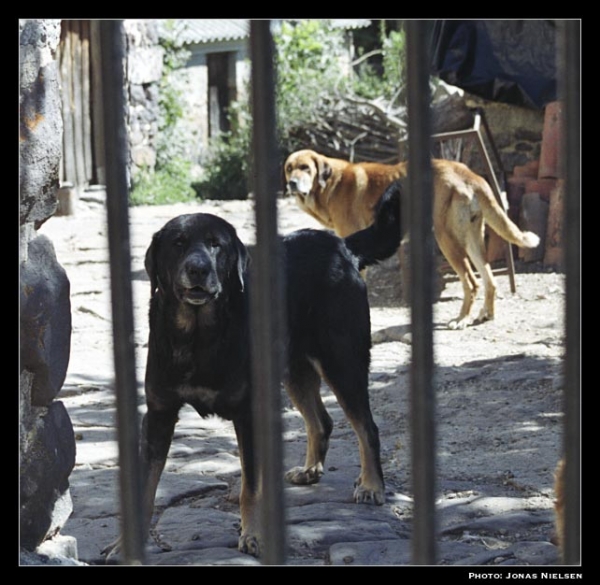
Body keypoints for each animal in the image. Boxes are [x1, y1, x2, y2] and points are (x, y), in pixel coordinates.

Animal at [105, 180, 404, 560]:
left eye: (216, 245)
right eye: (178, 244)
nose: (198, 269)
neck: (199, 336)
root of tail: (342, 247)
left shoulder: (248, 413)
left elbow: (251, 485)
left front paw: (254, 535)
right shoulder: (159, 414)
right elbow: (145, 487)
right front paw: (126, 545)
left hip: (343, 362)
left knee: (366, 426)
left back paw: (371, 485)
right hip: (294, 369)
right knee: (322, 421)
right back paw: (310, 471)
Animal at [284, 148, 540, 328]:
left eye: (305, 167)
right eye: (289, 168)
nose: (291, 184)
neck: (332, 185)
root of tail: (467, 172)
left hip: (447, 240)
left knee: (471, 282)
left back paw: (462, 319)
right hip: (472, 240)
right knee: (490, 280)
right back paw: (485, 315)